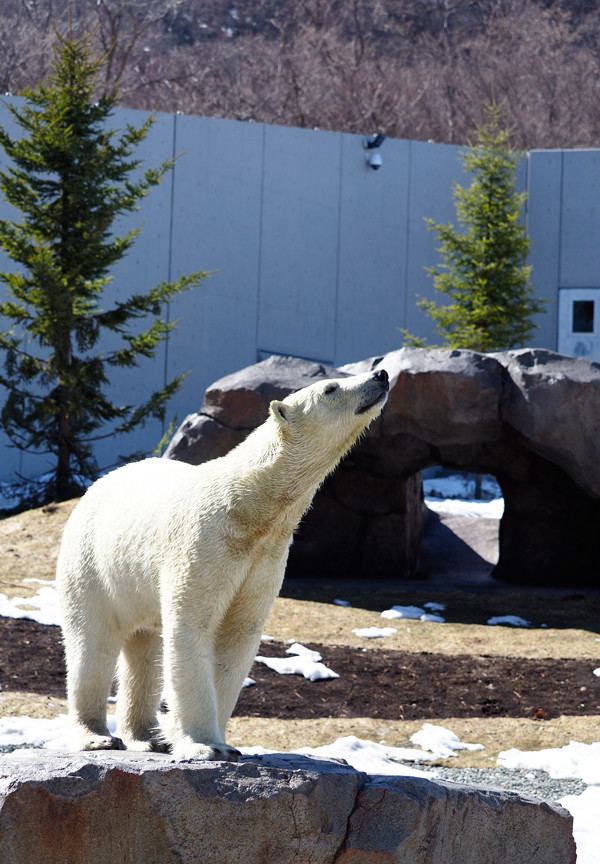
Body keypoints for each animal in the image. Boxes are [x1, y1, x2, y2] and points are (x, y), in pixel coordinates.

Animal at [57, 368, 390, 760]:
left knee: (145, 649)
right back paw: (97, 736)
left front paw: (223, 742)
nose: (381, 374)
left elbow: (239, 634)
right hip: (92, 564)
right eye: (331, 388)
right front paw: (205, 746)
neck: (251, 506)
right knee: (92, 644)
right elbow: (192, 626)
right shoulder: (205, 543)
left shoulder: (266, 556)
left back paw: (147, 737)